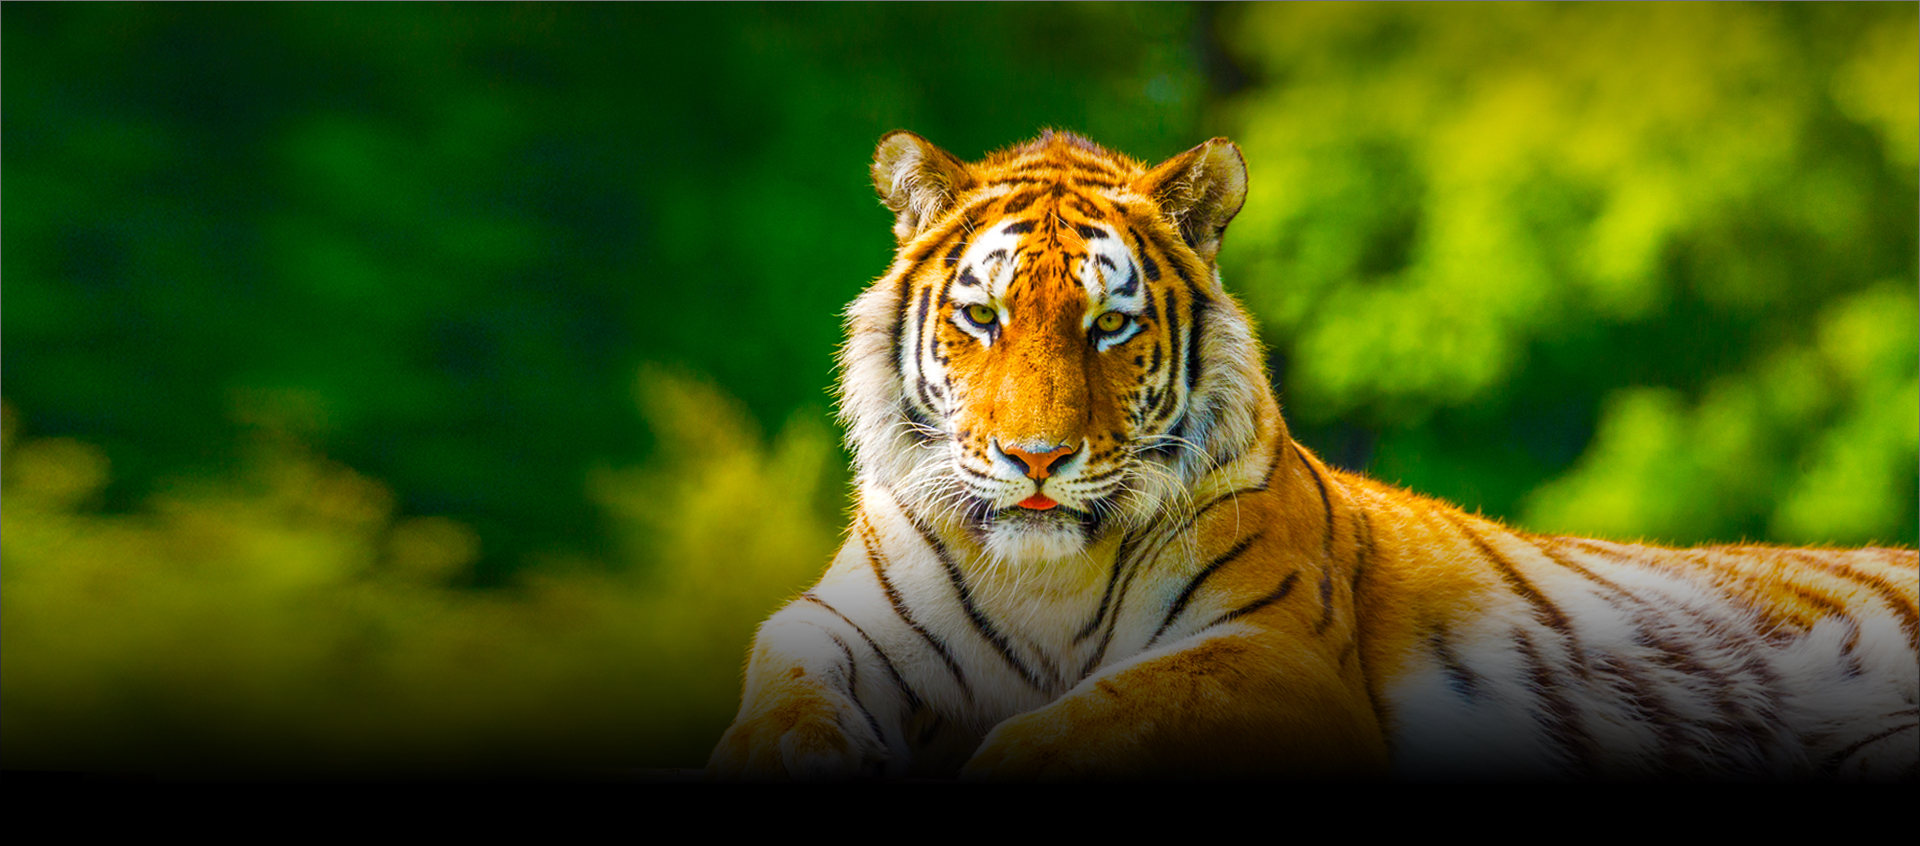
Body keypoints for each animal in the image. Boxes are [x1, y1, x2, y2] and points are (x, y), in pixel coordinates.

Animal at [706, 128, 1920, 782]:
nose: (1036, 459)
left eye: (1108, 325)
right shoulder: (836, 620)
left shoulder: (1272, 652)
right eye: (984, 317)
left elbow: (1095, 711)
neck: (1041, 575)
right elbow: (782, 676)